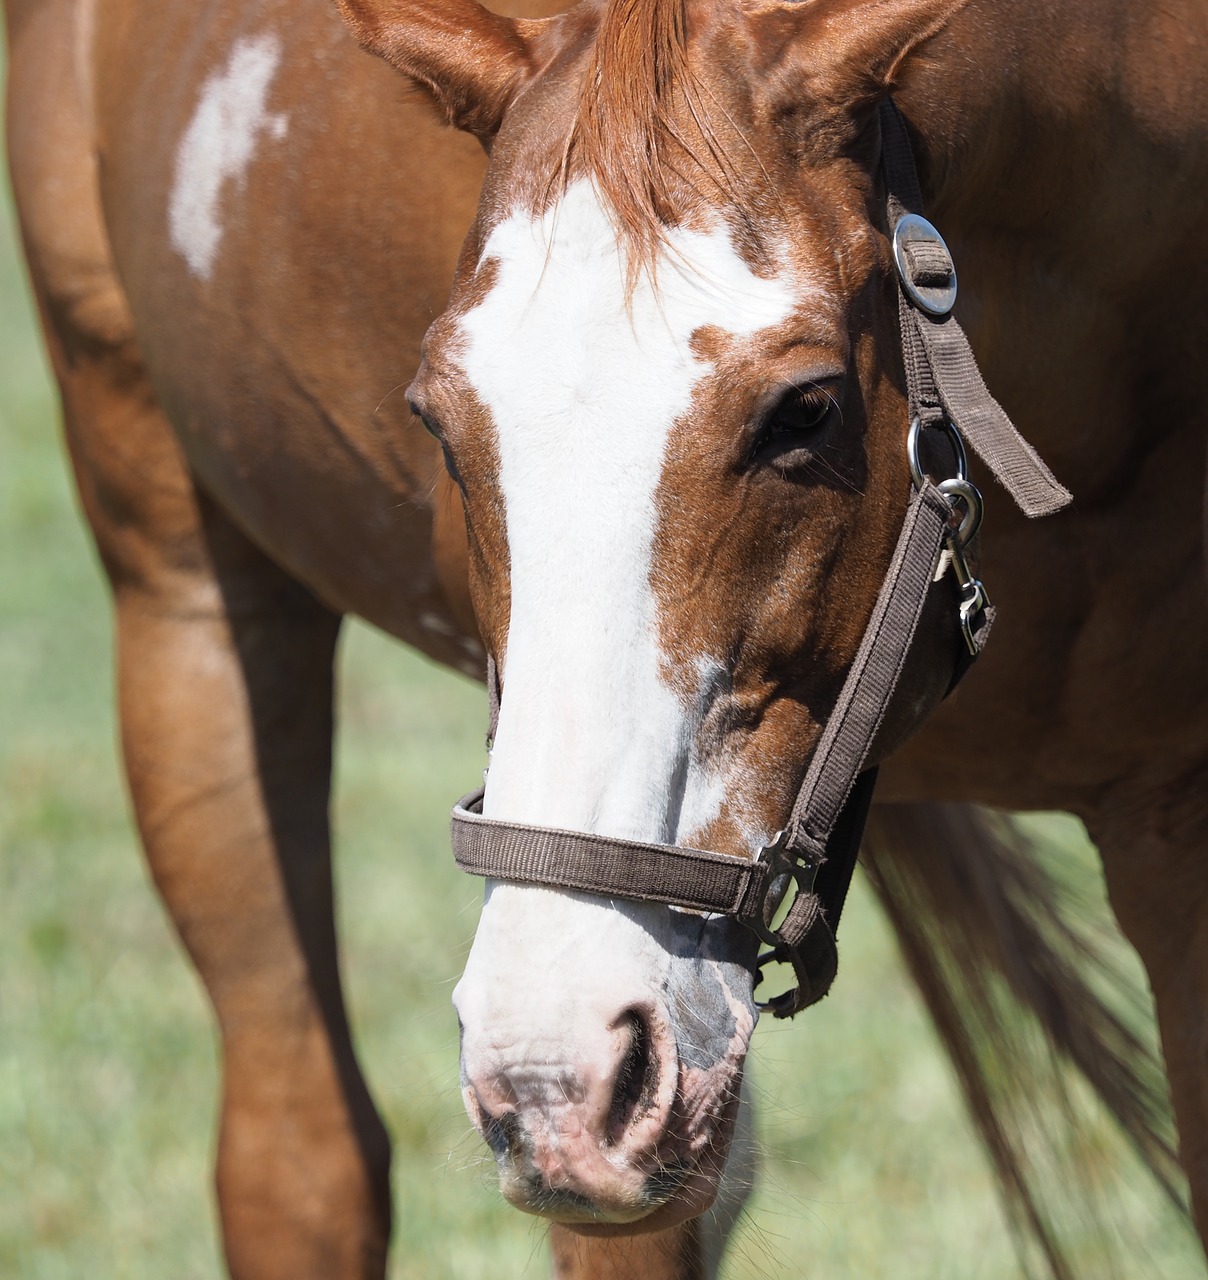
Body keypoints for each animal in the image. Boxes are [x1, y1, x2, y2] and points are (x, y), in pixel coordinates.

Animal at [7, 0, 1208, 1269]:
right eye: (434, 420)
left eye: (807, 409)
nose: (545, 1065)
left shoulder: (1171, 824)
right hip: (185, 604)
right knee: (302, 1162)